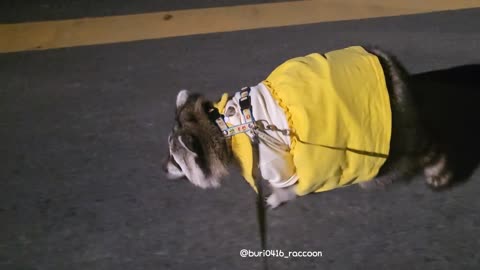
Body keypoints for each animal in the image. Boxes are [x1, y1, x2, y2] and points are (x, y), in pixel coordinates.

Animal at [163, 46, 452, 208]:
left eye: (177, 161)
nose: (163, 170)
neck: (221, 124)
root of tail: (393, 68)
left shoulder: (269, 151)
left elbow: (287, 178)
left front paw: (282, 195)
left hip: (387, 131)